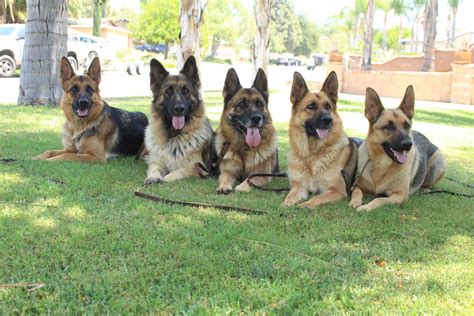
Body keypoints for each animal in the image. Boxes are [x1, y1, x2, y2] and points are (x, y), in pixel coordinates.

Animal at [143, 56, 213, 184]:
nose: (179, 109)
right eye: (168, 91)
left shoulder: (197, 168)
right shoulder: (156, 162)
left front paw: (165, 179)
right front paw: (153, 177)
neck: (173, 136)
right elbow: (155, 168)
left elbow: (177, 172)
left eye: (186, 91)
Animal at [282, 72, 356, 209]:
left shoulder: (336, 190)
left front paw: (306, 204)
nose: (328, 120)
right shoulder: (299, 186)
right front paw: (286, 203)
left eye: (328, 107)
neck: (312, 154)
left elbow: (318, 197)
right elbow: (291, 195)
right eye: (311, 106)